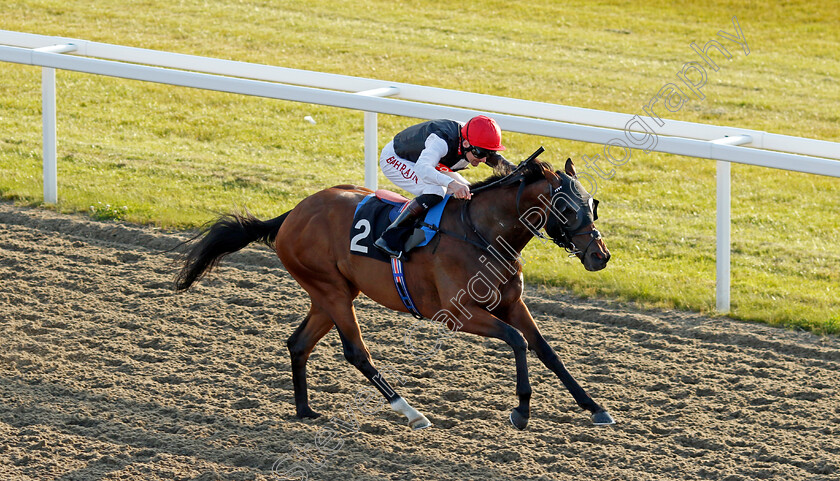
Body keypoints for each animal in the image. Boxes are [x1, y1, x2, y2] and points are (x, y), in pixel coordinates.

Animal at [174, 153, 612, 428]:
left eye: (592, 203)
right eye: (565, 207)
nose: (600, 255)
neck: (482, 233)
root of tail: (292, 213)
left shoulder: (511, 303)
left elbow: (546, 350)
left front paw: (595, 408)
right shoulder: (459, 314)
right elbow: (518, 342)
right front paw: (521, 411)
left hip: (331, 293)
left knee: (298, 343)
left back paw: (305, 410)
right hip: (331, 292)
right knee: (356, 352)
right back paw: (411, 412)